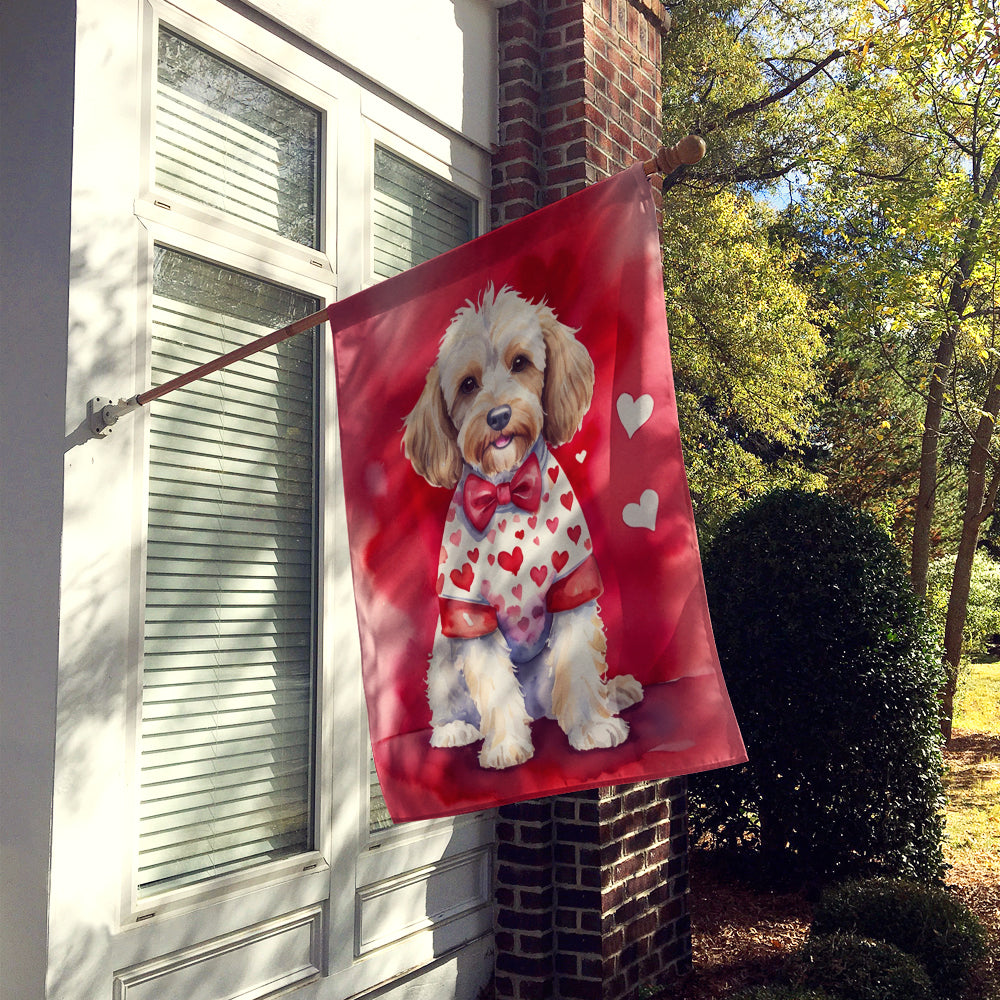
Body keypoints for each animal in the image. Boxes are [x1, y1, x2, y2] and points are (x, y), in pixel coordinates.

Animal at [404, 286, 644, 768]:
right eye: (468, 385)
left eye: (520, 362)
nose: (498, 416)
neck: (506, 491)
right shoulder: (471, 614)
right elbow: (495, 684)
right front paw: (505, 747)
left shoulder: (572, 586)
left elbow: (580, 667)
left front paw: (593, 728)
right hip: (442, 658)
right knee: (450, 702)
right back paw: (454, 730)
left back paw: (612, 695)